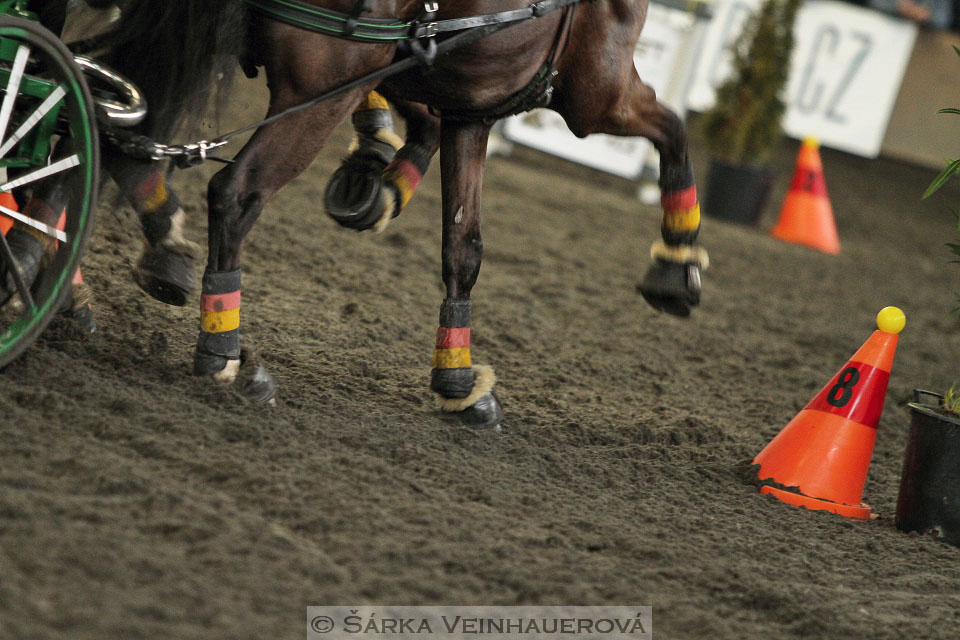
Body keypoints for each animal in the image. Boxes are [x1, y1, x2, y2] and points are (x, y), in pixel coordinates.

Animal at [101, 1, 708, 430]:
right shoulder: (597, 90)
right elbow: (676, 130)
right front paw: (675, 268)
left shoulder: (464, 98)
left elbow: (463, 244)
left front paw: (457, 379)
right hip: (322, 90)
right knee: (235, 192)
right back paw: (224, 351)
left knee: (122, 136)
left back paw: (164, 258)